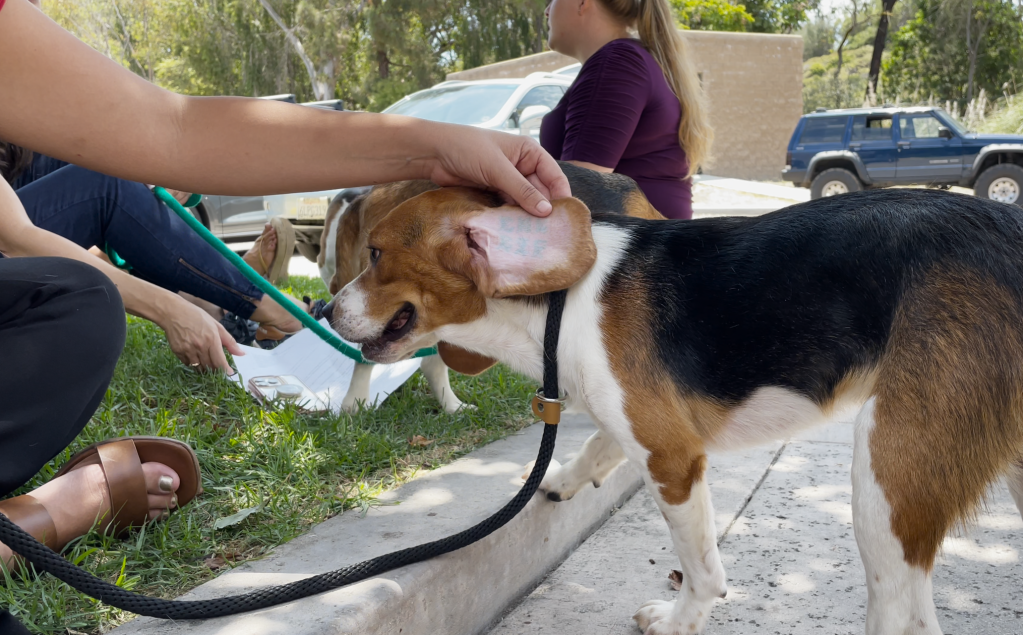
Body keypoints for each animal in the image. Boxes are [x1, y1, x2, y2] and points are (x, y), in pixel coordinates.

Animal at [327, 187, 1023, 633]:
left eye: (377, 255)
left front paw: (679, 619)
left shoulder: (673, 460)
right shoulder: (634, 421)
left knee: (905, 618)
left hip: (884, 487)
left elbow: (701, 571)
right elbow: (597, 444)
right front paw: (558, 482)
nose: (325, 309)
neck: (559, 301)